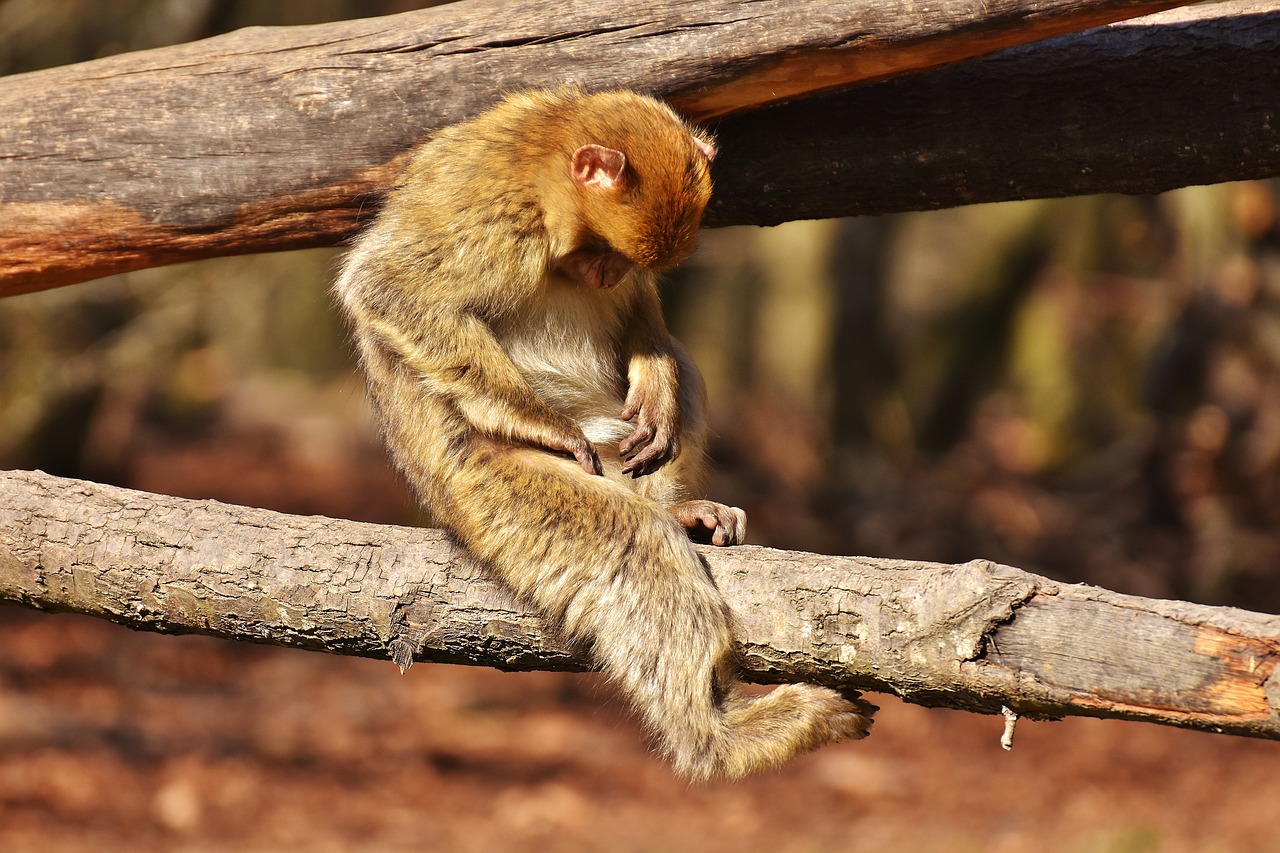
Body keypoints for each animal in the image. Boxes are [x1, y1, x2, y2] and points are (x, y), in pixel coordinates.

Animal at [330, 87, 875, 778]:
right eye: (601, 253)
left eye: (622, 261)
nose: (610, 274)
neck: (545, 158)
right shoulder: (489, 214)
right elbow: (390, 289)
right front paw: (545, 422)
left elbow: (647, 322)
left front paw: (656, 383)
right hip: (484, 485)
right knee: (633, 547)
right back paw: (721, 734)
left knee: (677, 383)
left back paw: (676, 507)